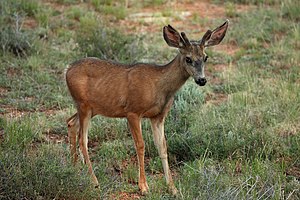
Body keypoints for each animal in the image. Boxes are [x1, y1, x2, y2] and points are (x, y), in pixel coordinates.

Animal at [65, 20, 229, 195]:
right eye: (188, 59)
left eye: (205, 57)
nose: (202, 80)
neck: (160, 87)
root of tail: (67, 69)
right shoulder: (133, 111)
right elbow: (141, 145)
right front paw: (143, 186)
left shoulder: (158, 117)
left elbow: (162, 147)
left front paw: (172, 188)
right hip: (84, 105)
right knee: (83, 139)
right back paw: (95, 182)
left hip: (91, 108)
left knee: (71, 122)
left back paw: (74, 169)